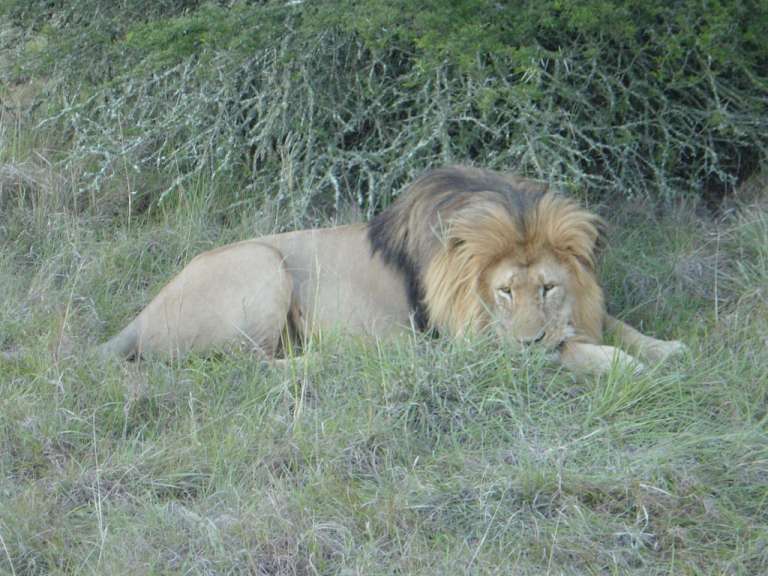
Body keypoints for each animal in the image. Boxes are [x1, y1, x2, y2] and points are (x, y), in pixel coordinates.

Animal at [98, 165, 686, 374]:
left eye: (548, 288)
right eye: (503, 292)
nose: (527, 341)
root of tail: (141, 315)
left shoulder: (578, 309)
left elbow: (611, 323)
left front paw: (666, 348)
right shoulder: (472, 342)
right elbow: (569, 350)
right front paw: (623, 365)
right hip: (262, 262)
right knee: (253, 369)